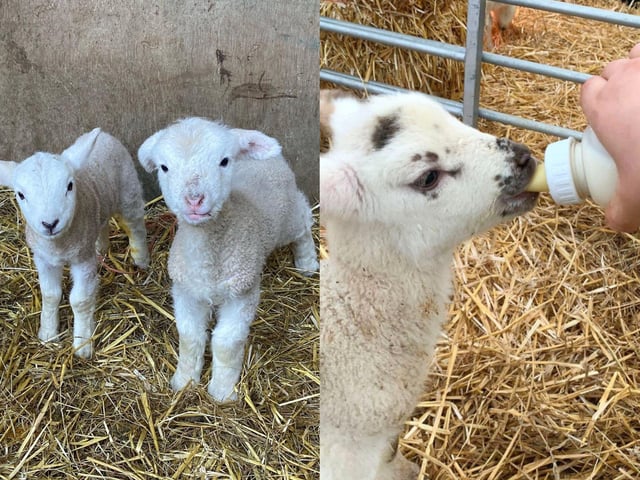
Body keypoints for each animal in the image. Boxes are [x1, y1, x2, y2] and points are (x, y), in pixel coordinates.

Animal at [0, 128, 149, 359]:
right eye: (21, 194)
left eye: (69, 186)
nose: (50, 223)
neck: (58, 245)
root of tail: (105, 136)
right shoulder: (43, 259)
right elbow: (50, 295)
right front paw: (48, 334)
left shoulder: (82, 260)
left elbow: (79, 300)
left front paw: (82, 344)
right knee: (102, 223)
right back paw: (101, 248)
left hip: (128, 191)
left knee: (135, 226)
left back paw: (141, 259)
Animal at [137, 117, 319, 402]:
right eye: (164, 167)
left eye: (223, 161)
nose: (194, 199)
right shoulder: (185, 291)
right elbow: (190, 336)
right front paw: (184, 381)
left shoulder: (242, 293)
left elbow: (225, 342)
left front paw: (222, 391)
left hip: (287, 217)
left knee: (303, 220)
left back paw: (307, 261)